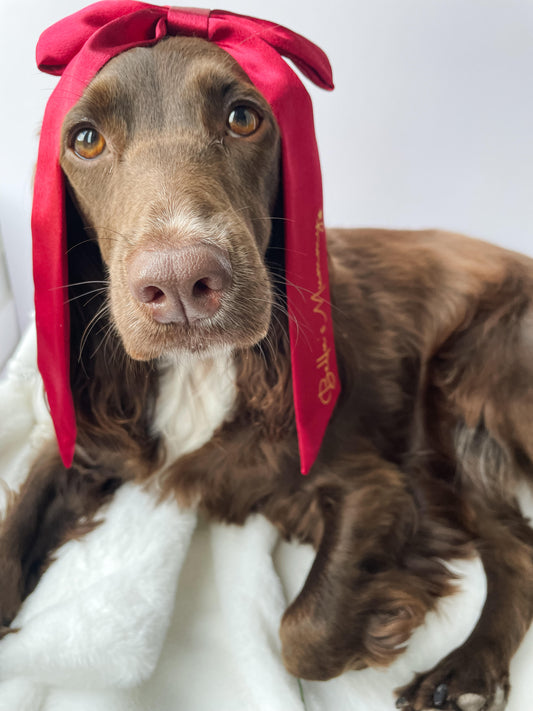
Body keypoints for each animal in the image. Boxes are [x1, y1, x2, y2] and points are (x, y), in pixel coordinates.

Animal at [1, 36, 532, 711]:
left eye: (243, 118)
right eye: (86, 139)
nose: (181, 284)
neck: (200, 369)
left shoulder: (375, 483)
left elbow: (302, 632)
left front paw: (381, 621)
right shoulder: (86, 443)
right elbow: (12, 540)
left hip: (466, 379)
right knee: (515, 544)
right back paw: (465, 676)